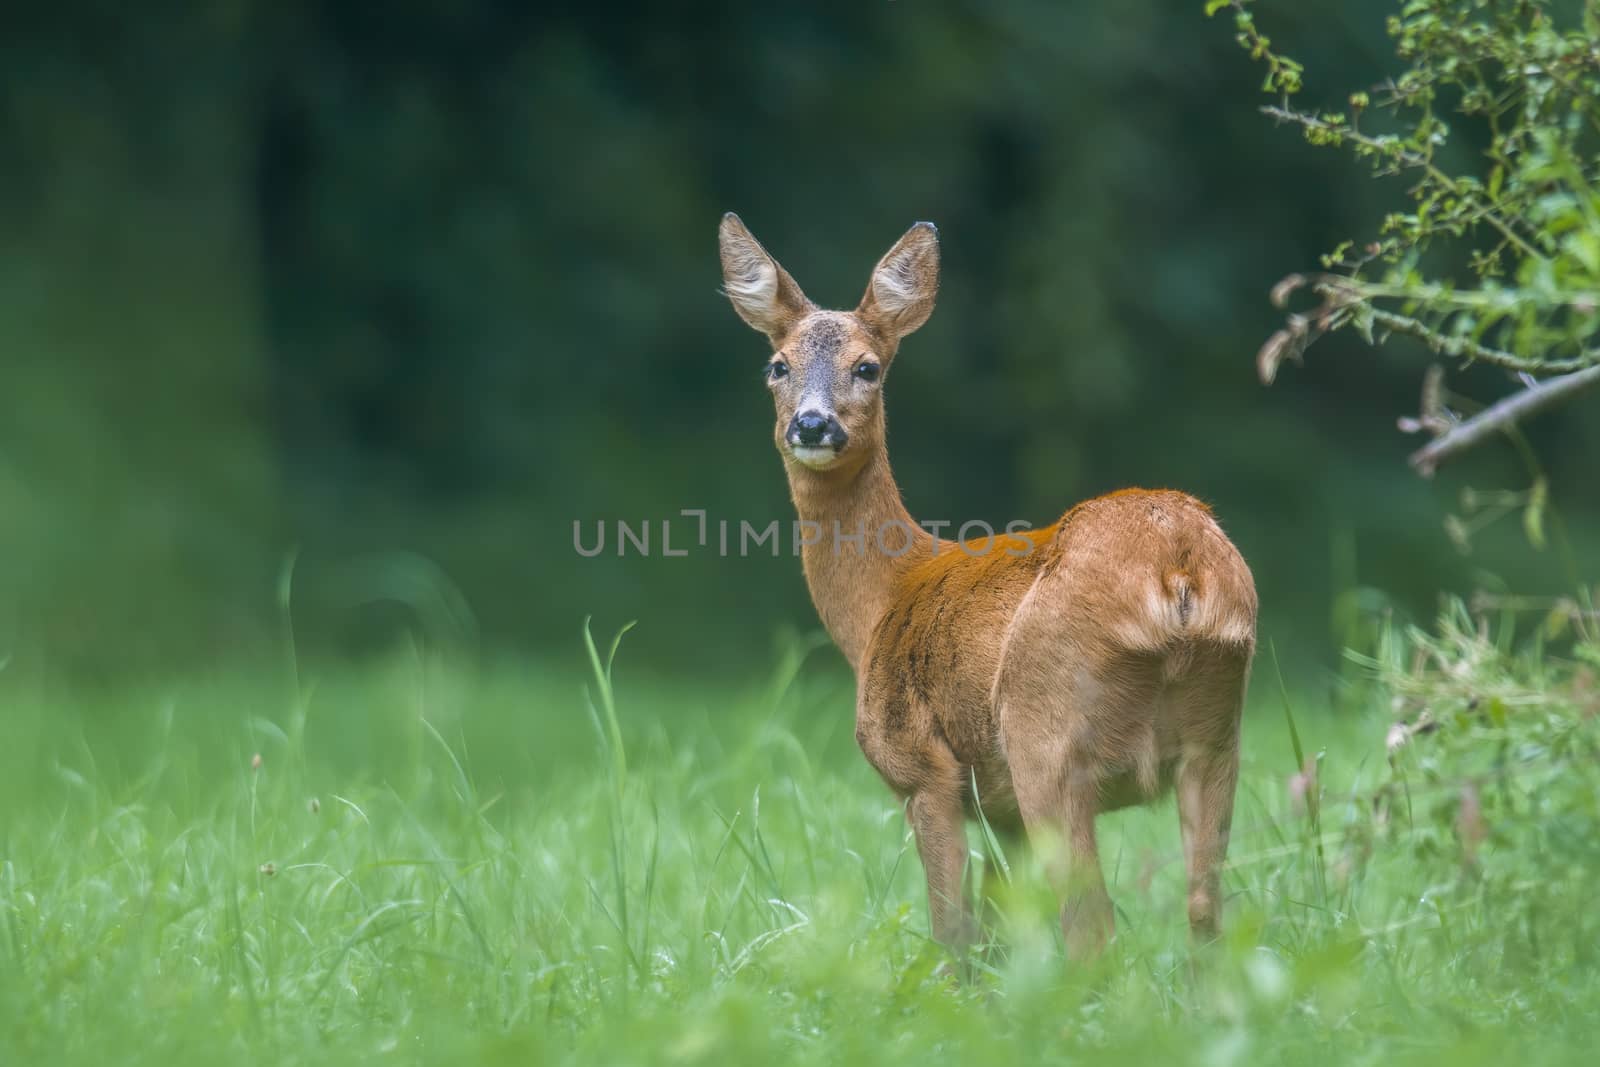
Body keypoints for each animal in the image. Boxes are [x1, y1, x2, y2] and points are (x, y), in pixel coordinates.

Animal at [720, 214, 1254, 959]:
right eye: (778, 365)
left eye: (867, 366)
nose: (813, 424)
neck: (882, 601)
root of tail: (1178, 568)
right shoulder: (998, 809)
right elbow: (999, 933)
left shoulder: (923, 768)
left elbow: (954, 932)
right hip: (1217, 730)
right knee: (1205, 912)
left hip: (1044, 731)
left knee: (1091, 923)